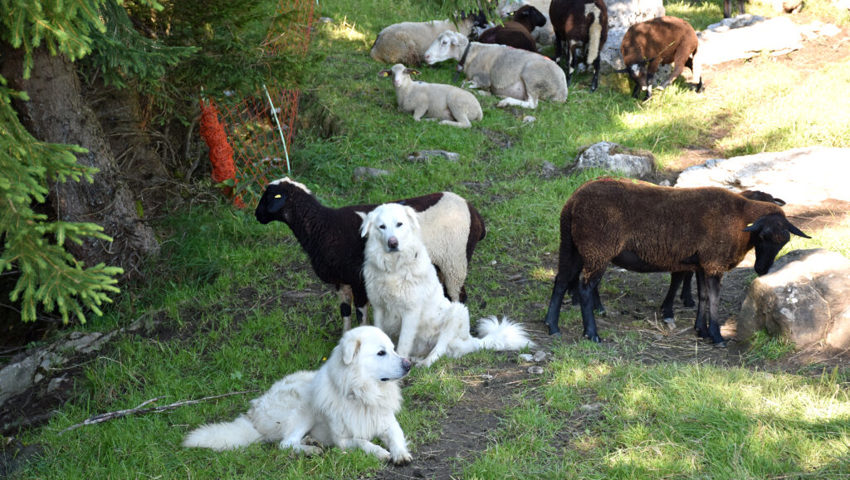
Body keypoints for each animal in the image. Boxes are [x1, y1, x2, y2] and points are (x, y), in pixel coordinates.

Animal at [183, 324, 414, 464]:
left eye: (394, 349)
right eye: (381, 353)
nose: (409, 364)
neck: (362, 394)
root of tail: (253, 413)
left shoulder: (388, 423)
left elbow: (396, 437)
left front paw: (400, 453)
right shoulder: (342, 440)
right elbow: (362, 442)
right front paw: (379, 451)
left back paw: (311, 442)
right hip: (305, 406)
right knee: (286, 444)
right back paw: (312, 450)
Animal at [253, 178, 484, 332]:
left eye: (269, 197)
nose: (257, 216)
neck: (324, 226)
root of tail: (472, 210)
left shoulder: (359, 279)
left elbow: (360, 313)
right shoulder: (341, 280)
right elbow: (345, 310)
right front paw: (344, 337)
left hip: (455, 260)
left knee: (458, 295)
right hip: (440, 263)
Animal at [356, 201, 528, 366]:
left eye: (399, 224)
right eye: (382, 227)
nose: (393, 243)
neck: (393, 269)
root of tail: (472, 341)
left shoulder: (411, 312)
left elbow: (404, 344)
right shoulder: (379, 308)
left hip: (457, 312)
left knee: (439, 350)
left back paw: (424, 363)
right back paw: (415, 359)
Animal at [422, 30, 564, 109]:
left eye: (445, 42)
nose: (425, 56)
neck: (470, 54)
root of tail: (563, 92)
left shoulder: (483, 79)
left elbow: (464, 85)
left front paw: (481, 91)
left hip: (533, 77)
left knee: (532, 104)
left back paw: (505, 101)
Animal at [544, 178, 808, 346]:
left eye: (784, 241)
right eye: (763, 236)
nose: (762, 269)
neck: (741, 220)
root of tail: (573, 201)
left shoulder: (703, 263)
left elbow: (702, 297)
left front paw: (701, 331)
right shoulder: (713, 263)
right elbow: (713, 299)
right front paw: (717, 336)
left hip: (572, 245)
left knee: (561, 281)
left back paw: (552, 326)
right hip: (597, 248)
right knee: (584, 288)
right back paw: (591, 333)